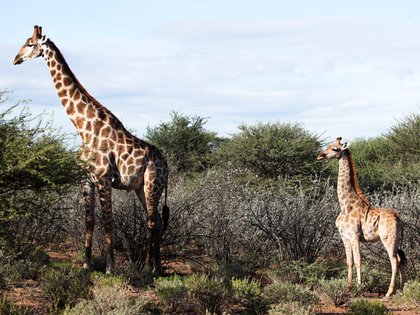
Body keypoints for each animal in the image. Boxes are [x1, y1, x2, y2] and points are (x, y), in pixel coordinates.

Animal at [13, 25, 170, 276]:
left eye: (30, 43)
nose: (15, 59)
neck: (84, 128)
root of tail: (166, 164)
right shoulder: (86, 180)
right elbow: (90, 221)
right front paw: (86, 264)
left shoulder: (104, 178)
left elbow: (108, 222)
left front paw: (110, 267)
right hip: (140, 187)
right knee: (154, 221)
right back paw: (156, 268)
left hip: (152, 184)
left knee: (152, 222)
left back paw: (148, 267)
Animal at [316, 137, 406, 298]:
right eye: (329, 145)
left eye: (335, 149)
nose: (320, 155)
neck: (345, 204)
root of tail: (399, 218)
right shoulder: (345, 237)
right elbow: (349, 261)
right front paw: (347, 286)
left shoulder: (354, 236)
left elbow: (358, 261)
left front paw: (358, 287)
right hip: (397, 240)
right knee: (401, 260)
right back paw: (401, 289)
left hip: (388, 239)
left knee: (394, 260)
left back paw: (389, 292)